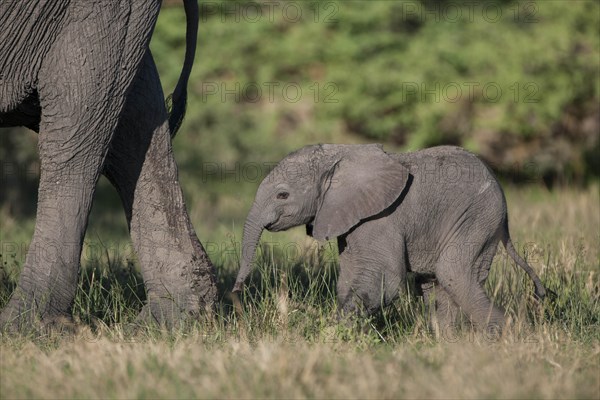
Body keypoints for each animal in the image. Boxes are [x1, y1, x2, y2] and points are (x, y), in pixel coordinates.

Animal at [232, 144, 548, 332]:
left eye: (282, 195)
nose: (237, 293)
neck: (339, 155)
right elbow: (348, 278)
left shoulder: (381, 217)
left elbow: (382, 279)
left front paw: (332, 333)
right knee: (436, 284)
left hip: (477, 218)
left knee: (454, 274)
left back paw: (510, 338)